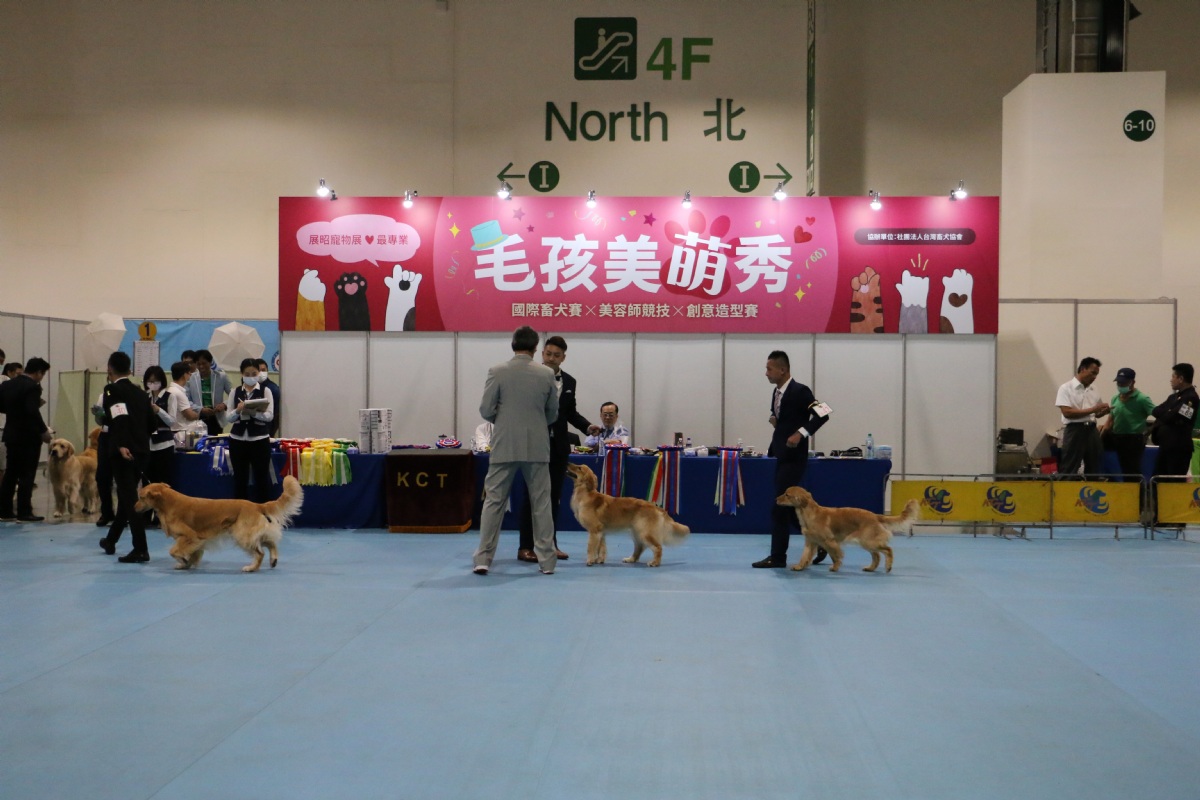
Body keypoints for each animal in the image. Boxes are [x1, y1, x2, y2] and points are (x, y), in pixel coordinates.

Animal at [135, 475, 304, 572]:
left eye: (141, 497)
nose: (133, 507)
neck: (169, 503)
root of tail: (256, 505)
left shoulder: (190, 536)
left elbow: (173, 551)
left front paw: (183, 561)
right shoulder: (196, 541)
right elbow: (193, 554)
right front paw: (185, 565)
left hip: (242, 535)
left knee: (260, 552)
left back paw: (251, 568)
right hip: (250, 534)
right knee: (271, 542)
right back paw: (273, 560)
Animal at [776, 486, 918, 573]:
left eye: (787, 495)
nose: (776, 499)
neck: (810, 514)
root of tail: (875, 515)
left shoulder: (829, 541)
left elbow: (835, 555)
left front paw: (835, 567)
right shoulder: (810, 542)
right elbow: (804, 556)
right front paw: (799, 566)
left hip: (869, 541)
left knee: (888, 550)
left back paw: (888, 567)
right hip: (867, 542)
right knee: (876, 556)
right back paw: (870, 568)